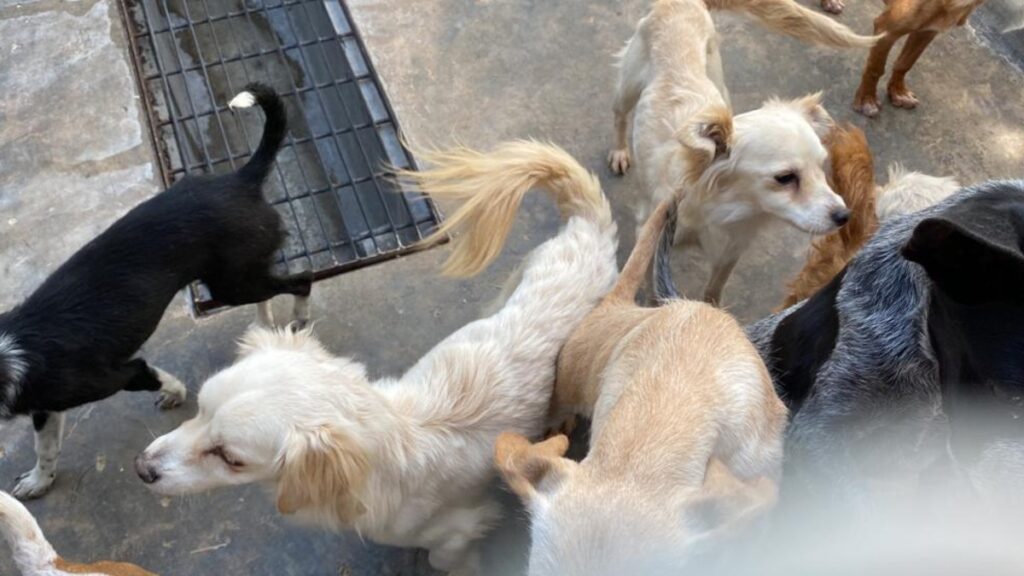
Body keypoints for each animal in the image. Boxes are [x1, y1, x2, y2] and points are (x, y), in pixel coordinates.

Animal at [0, 83, 311, 499]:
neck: (9, 352)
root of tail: (240, 179)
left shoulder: (122, 374)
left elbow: (158, 376)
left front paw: (175, 393)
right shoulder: (45, 406)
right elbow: (46, 449)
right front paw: (39, 481)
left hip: (232, 285)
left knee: (304, 278)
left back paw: (299, 318)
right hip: (238, 276)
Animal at [133, 141, 620, 575]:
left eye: (230, 458)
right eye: (199, 409)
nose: (142, 469)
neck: (393, 443)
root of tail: (588, 228)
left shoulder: (461, 529)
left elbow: (447, 558)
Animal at [611, 0, 876, 305]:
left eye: (822, 167)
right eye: (785, 178)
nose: (844, 216)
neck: (723, 206)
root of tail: (682, 3)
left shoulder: (731, 250)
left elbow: (714, 287)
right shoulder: (651, 238)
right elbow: (653, 287)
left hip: (718, 81)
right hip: (627, 88)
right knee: (620, 115)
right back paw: (619, 151)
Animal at [853, 0, 986, 117]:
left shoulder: (928, 30)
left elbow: (905, 64)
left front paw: (898, 92)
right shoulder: (887, 29)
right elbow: (875, 69)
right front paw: (867, 99)